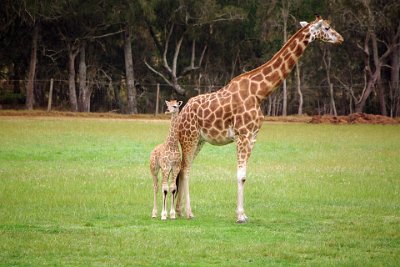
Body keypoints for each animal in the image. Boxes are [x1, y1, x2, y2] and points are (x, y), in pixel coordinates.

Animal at [175, 15, 344, 224]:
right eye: (327, 28)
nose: (341, 39)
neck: (260, 93)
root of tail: (182, 113)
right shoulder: (242, 134)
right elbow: (240, 175)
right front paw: (240, 216)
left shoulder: (253, 136)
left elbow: (245, 175)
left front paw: (243, 213)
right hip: (189, 138)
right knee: (186, 169)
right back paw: (188, 212)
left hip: (199, 140)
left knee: (184, 169)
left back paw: (179, 211)